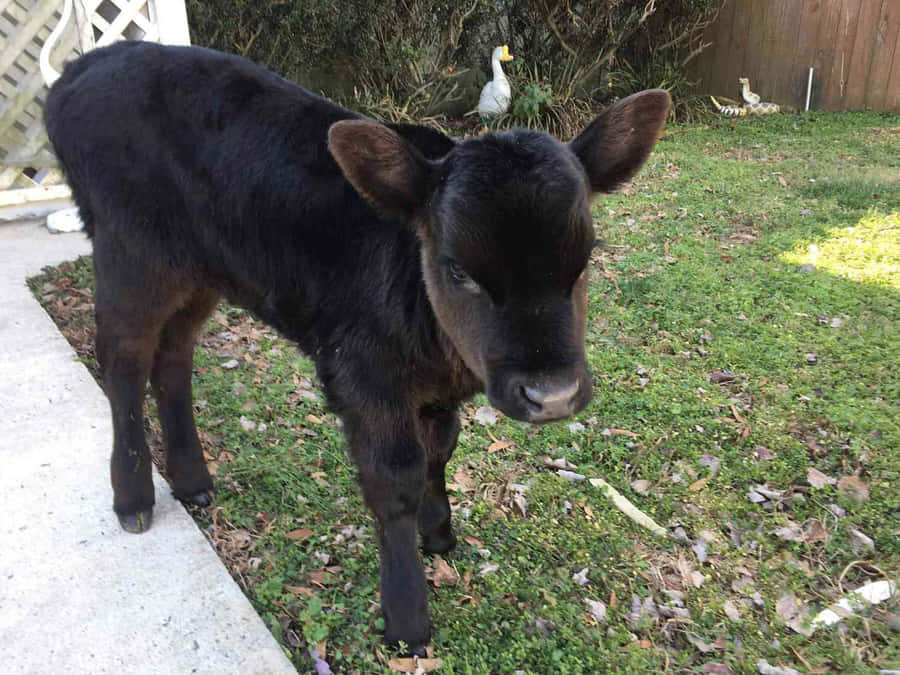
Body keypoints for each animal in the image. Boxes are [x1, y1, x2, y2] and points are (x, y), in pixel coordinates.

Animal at [45, 40, 669, 653]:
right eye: (457, 270)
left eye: (584, 261)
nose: (553, 394)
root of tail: (83, 68)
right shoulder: (364, 376)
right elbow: (394, 479)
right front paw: (407, 619)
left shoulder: (433, 389)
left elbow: (440, 450)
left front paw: (438, 532)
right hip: (130, 253)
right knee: (124, 362)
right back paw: (133, 498)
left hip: (200, 270)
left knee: (173, 357)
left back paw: (193, 481)